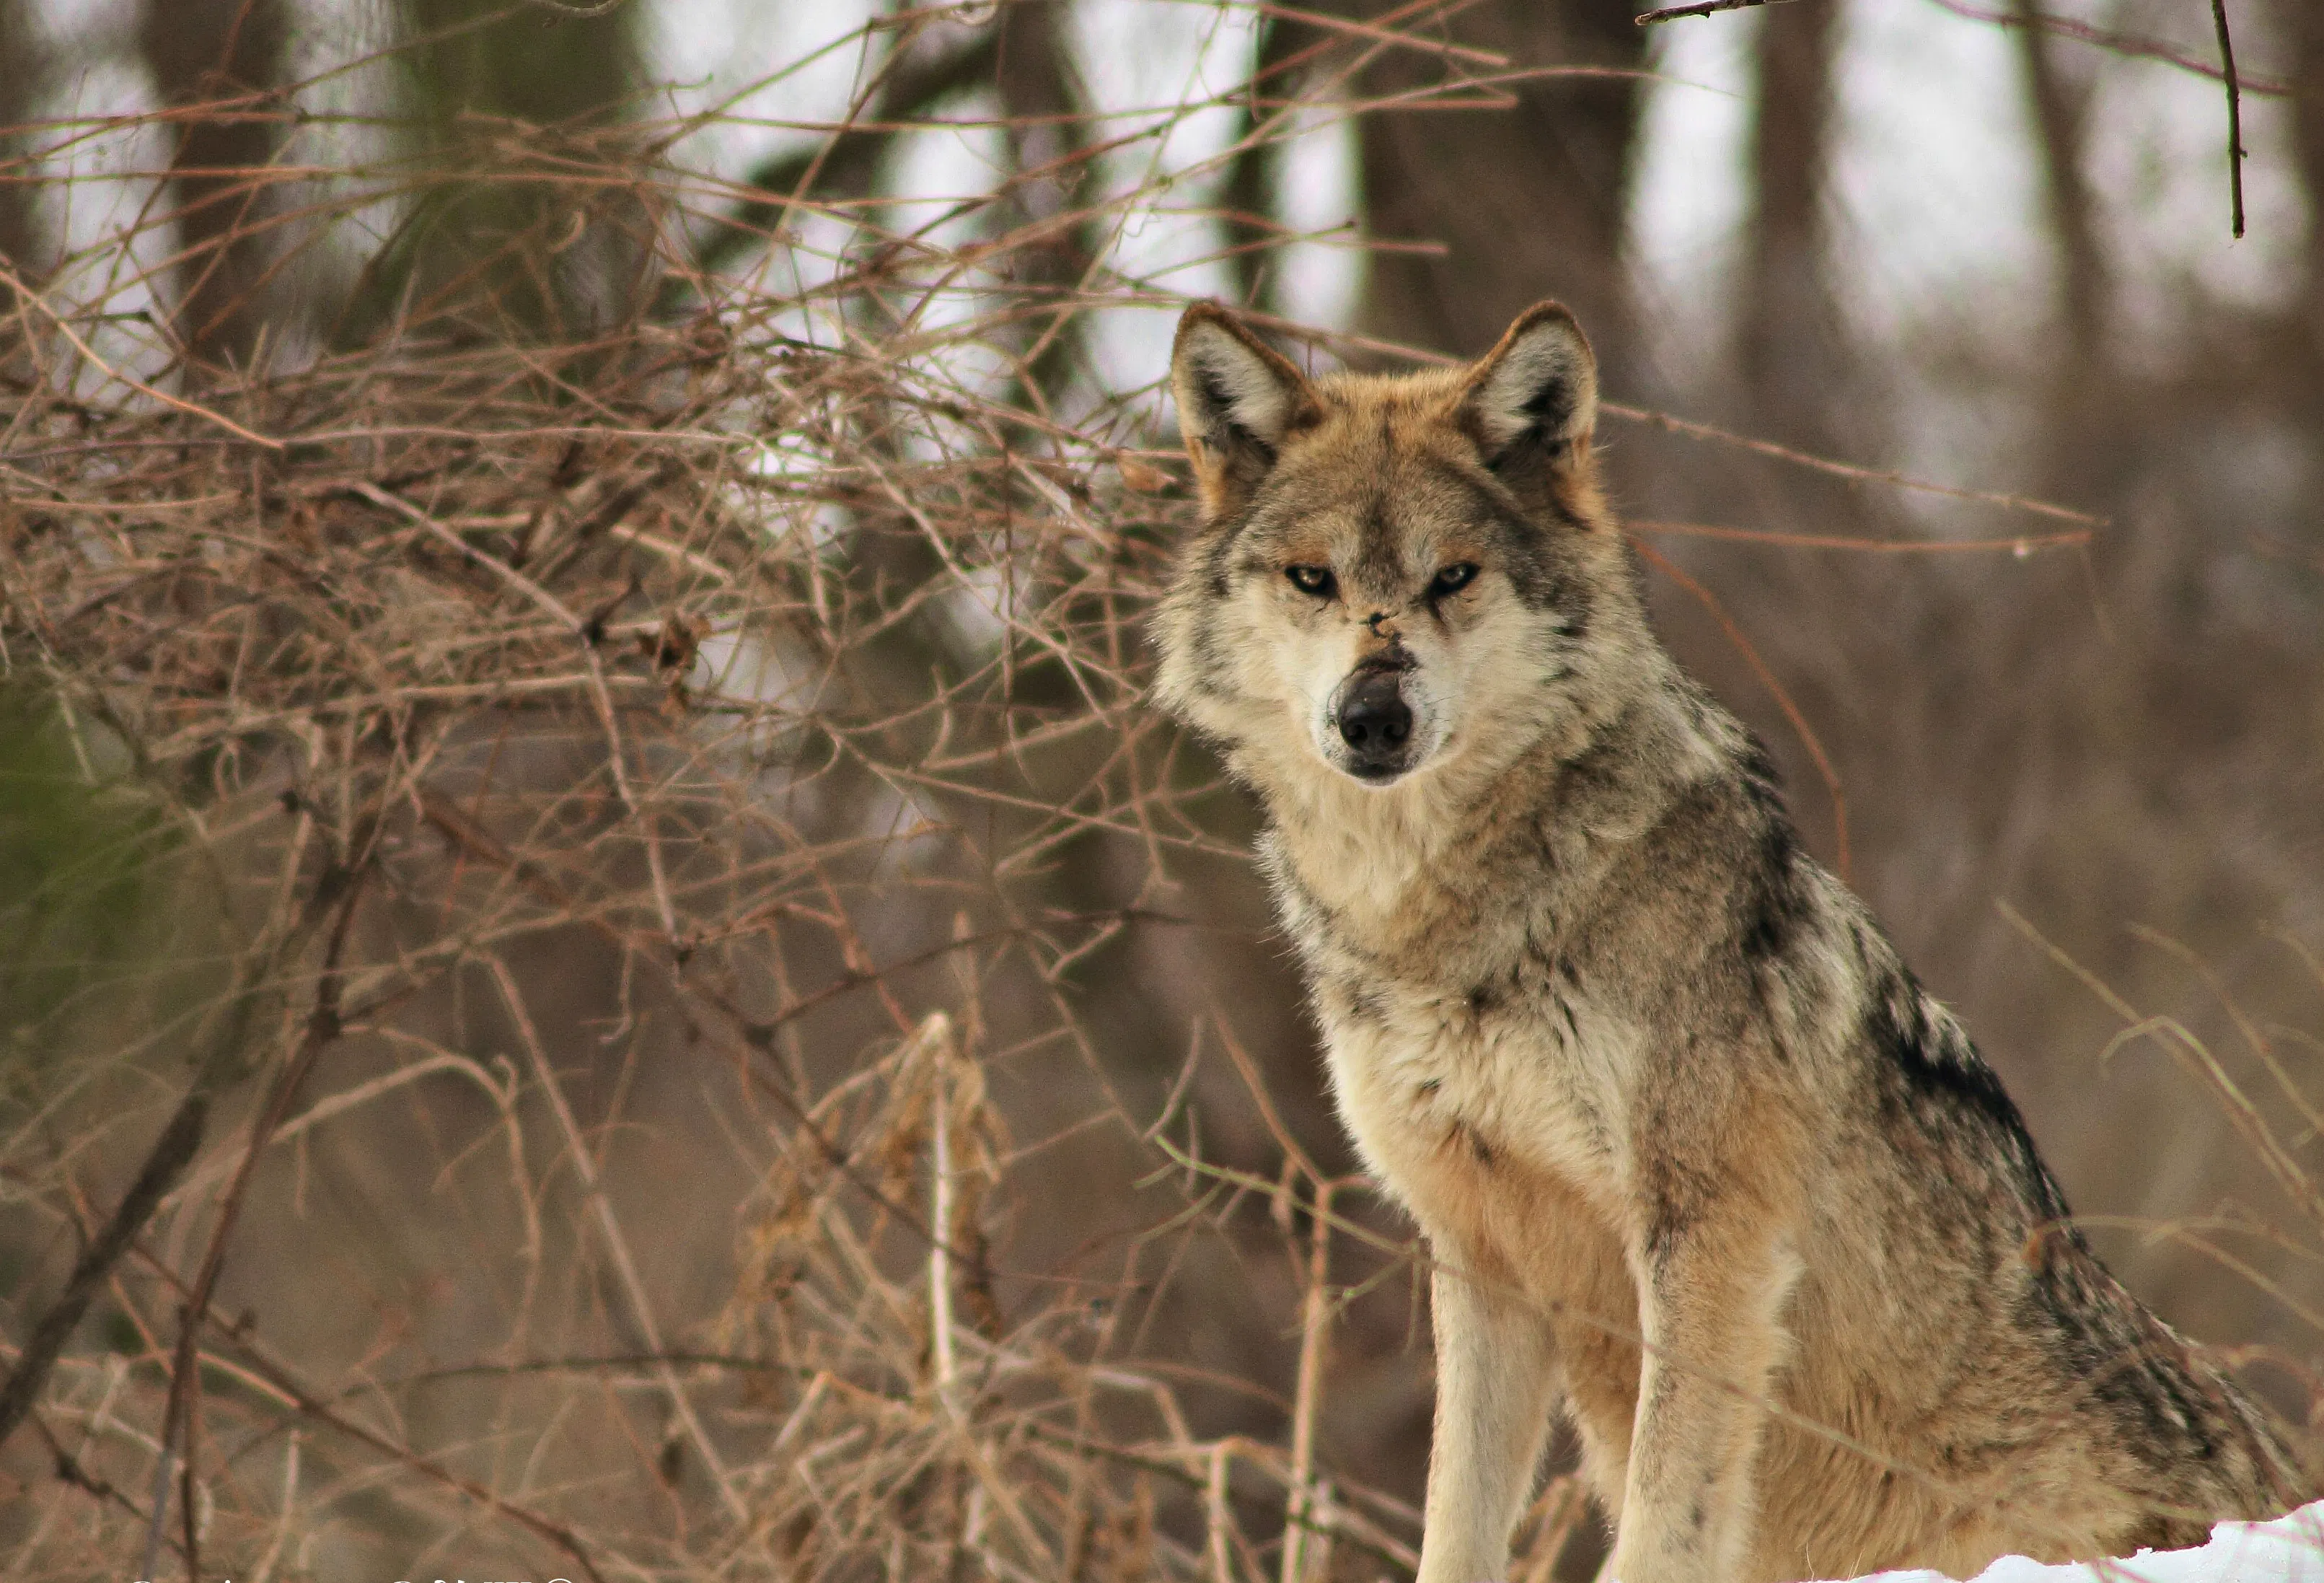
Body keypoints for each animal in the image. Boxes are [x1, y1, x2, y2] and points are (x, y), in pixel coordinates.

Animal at [1150, 299, 2310, 1583]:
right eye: (1313, 578)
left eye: (1452, 576)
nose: (1371, 717)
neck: (1444, 925)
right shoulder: (1476, 1251)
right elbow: (1454, 1517)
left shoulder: (1708, 1230)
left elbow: (1671, 1505)